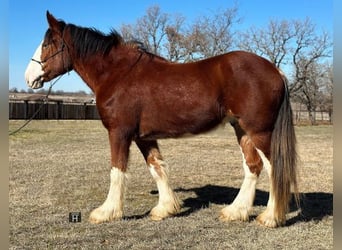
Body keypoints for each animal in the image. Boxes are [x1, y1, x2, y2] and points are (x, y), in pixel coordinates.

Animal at [24, 11, 298, 228]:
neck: (119, 73)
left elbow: (117, 170)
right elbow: (157, 168)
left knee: (274, 168)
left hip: (260, 132)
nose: (29, 77)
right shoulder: (143, 136)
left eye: (48, 43)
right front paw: (165, 209)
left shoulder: (119, 133)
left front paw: (106, 212)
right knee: (253, 167)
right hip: (241, 129)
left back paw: (270, 217)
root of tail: (276, 70)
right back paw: (235, 212)